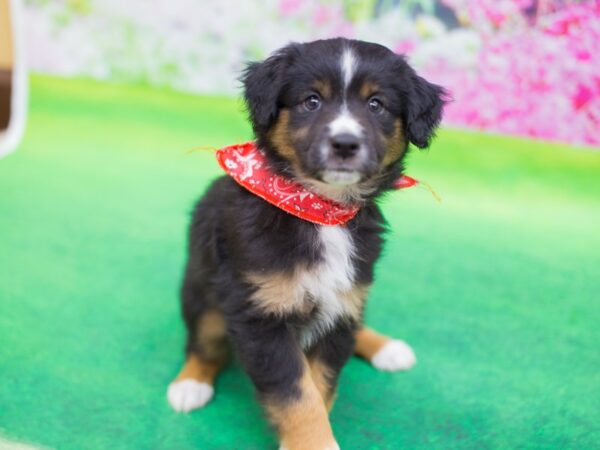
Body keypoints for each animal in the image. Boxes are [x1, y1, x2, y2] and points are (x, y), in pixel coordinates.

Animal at [166, 37, 442, 450]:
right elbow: (296, 394)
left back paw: (386, 348)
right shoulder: (261, 314)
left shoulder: (341, 303)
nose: (345, 143)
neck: (319, 211)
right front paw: (313, 442)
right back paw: (190, 384)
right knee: (204, 341)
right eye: (311, 101)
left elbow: (320, 385)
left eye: (376, 104)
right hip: (203, 291)